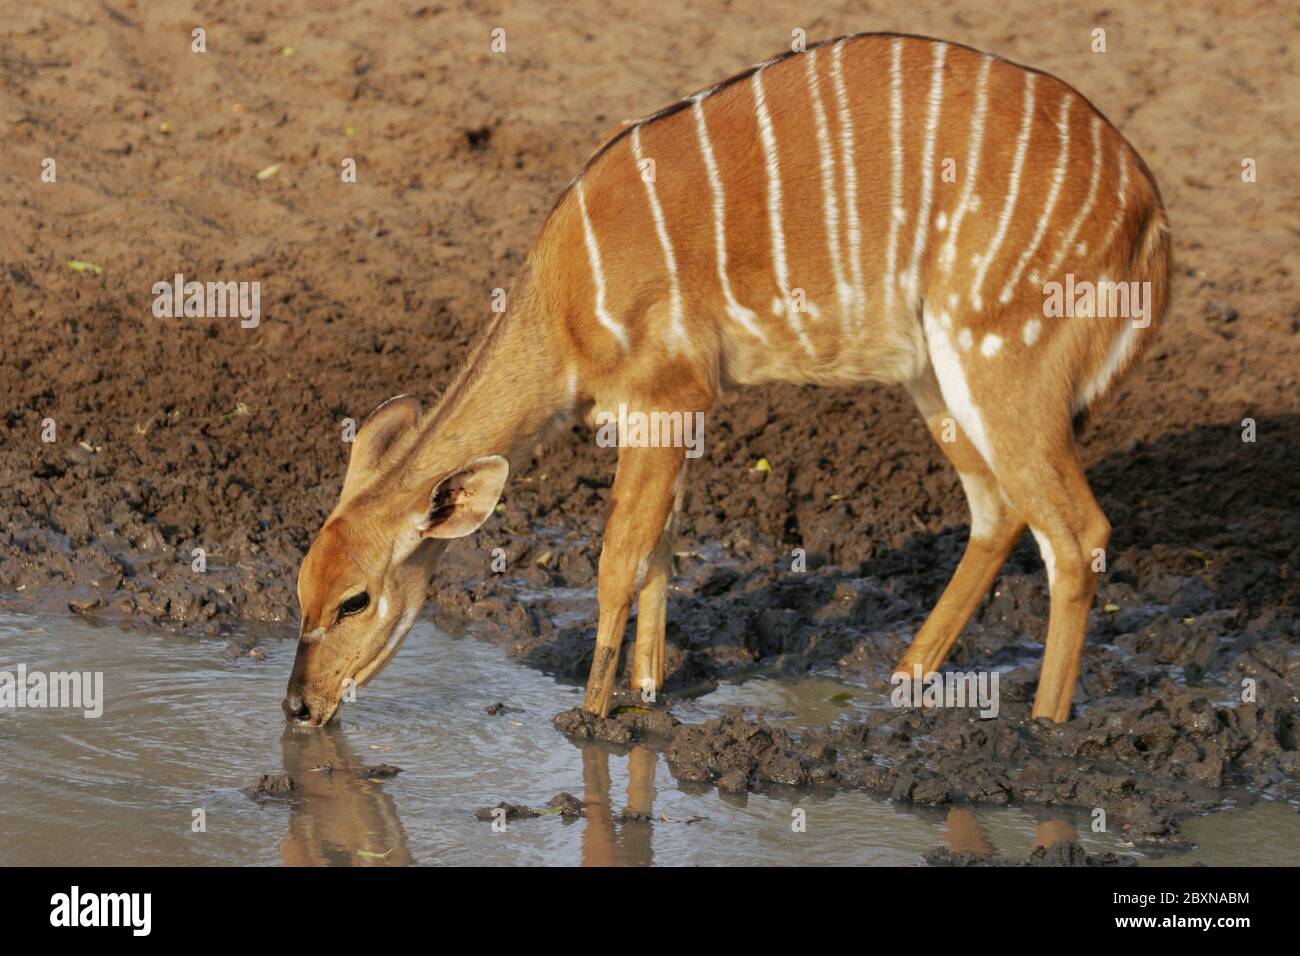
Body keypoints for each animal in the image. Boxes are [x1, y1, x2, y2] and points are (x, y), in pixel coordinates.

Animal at [282, 33, 1170, 728]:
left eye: (354, 599)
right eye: (299, 591)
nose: (297, 705)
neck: (566, 305)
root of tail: (1148, 211)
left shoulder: (668, 397)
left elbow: (618, 560)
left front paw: (591, 718)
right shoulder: (674, 415)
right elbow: (661, 557)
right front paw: (645, 698)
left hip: (1002, 357)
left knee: (1076, 533)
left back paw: (1044, 729)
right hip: (934, 374)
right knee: (999, 507)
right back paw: (897, 688)